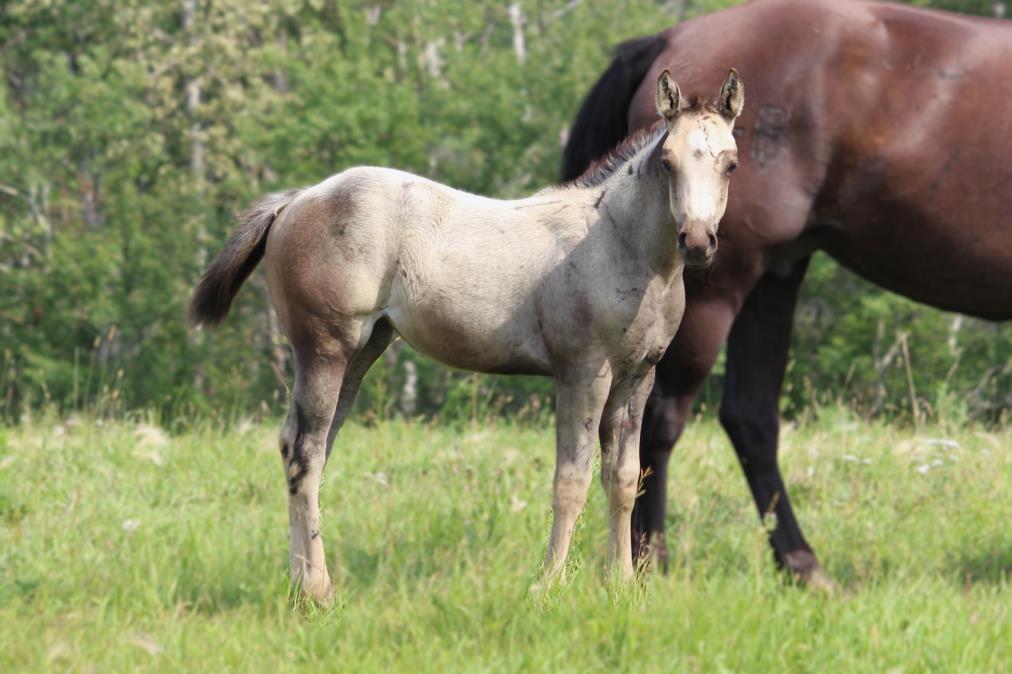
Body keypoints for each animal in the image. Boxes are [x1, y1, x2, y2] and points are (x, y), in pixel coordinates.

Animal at [190, 71, 745, 603]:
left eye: (731, 164)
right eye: (668, 161)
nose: (697, 242)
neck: (618, 243)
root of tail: (294, 201)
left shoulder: (637, 379)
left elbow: (625, 479)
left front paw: (622, 587)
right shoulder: (582, 372)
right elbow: (571, 480)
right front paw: (546, 587)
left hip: (362, 351)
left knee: (307, 449)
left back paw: (299, 583)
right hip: (324, 349)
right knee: (304, 455)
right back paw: (317, 593)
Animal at [562, 0, 1012, 589]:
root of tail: (667, 39)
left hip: (774, 277)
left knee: (748, 418)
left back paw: (801, 565)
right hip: (718, 288)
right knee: (659, 419)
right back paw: (650, 562)